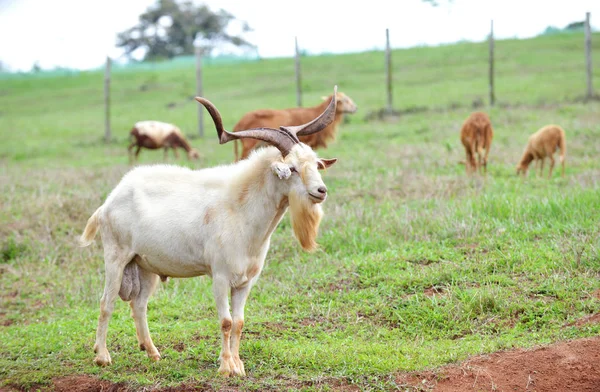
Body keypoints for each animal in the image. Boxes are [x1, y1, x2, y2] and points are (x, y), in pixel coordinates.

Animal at [78, 86, 340, 376]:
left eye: (315, 164)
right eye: (292, 168)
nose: (320, 191)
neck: (240, 210)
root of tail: (108, 202)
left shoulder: (246, 281)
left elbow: (239, 322)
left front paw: (238, 366)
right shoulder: (220, 276)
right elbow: (225, 321)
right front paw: (225, 367)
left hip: (145, 267)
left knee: (139, 305)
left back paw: (153, 353)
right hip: (116, 257)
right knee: (106, 302)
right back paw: (102, 356)